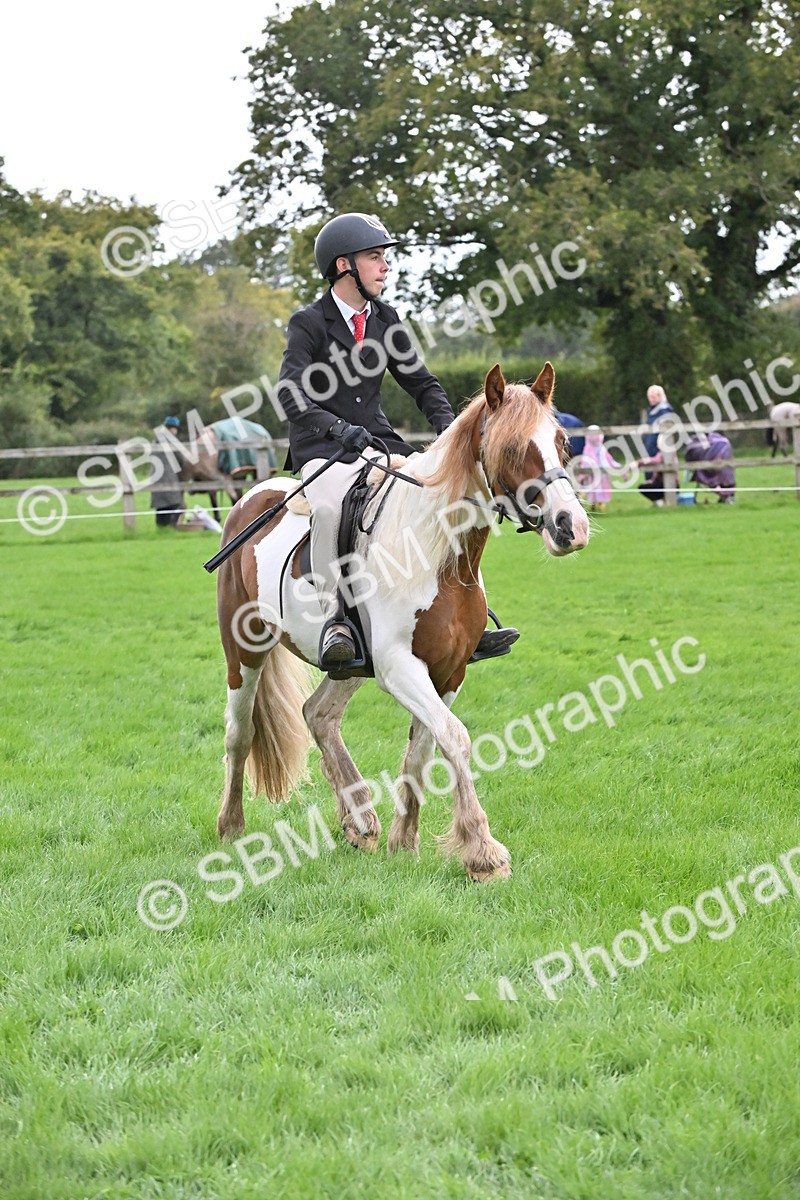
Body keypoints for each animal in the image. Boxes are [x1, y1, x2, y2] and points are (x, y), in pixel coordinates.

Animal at [214, 362, 590, 882]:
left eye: (563, 443)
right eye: (512, 448)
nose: (570, 526)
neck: (439, 555)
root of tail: (248, 499)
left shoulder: (447, 670)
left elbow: (423, 750)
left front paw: (404, 842)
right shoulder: (399, 667)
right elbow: (455, 738)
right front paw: (483, 852)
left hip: (350, 666)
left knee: (319, 714)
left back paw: (360, 821)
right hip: (244, 654)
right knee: (240, 733)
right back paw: (231, 826)